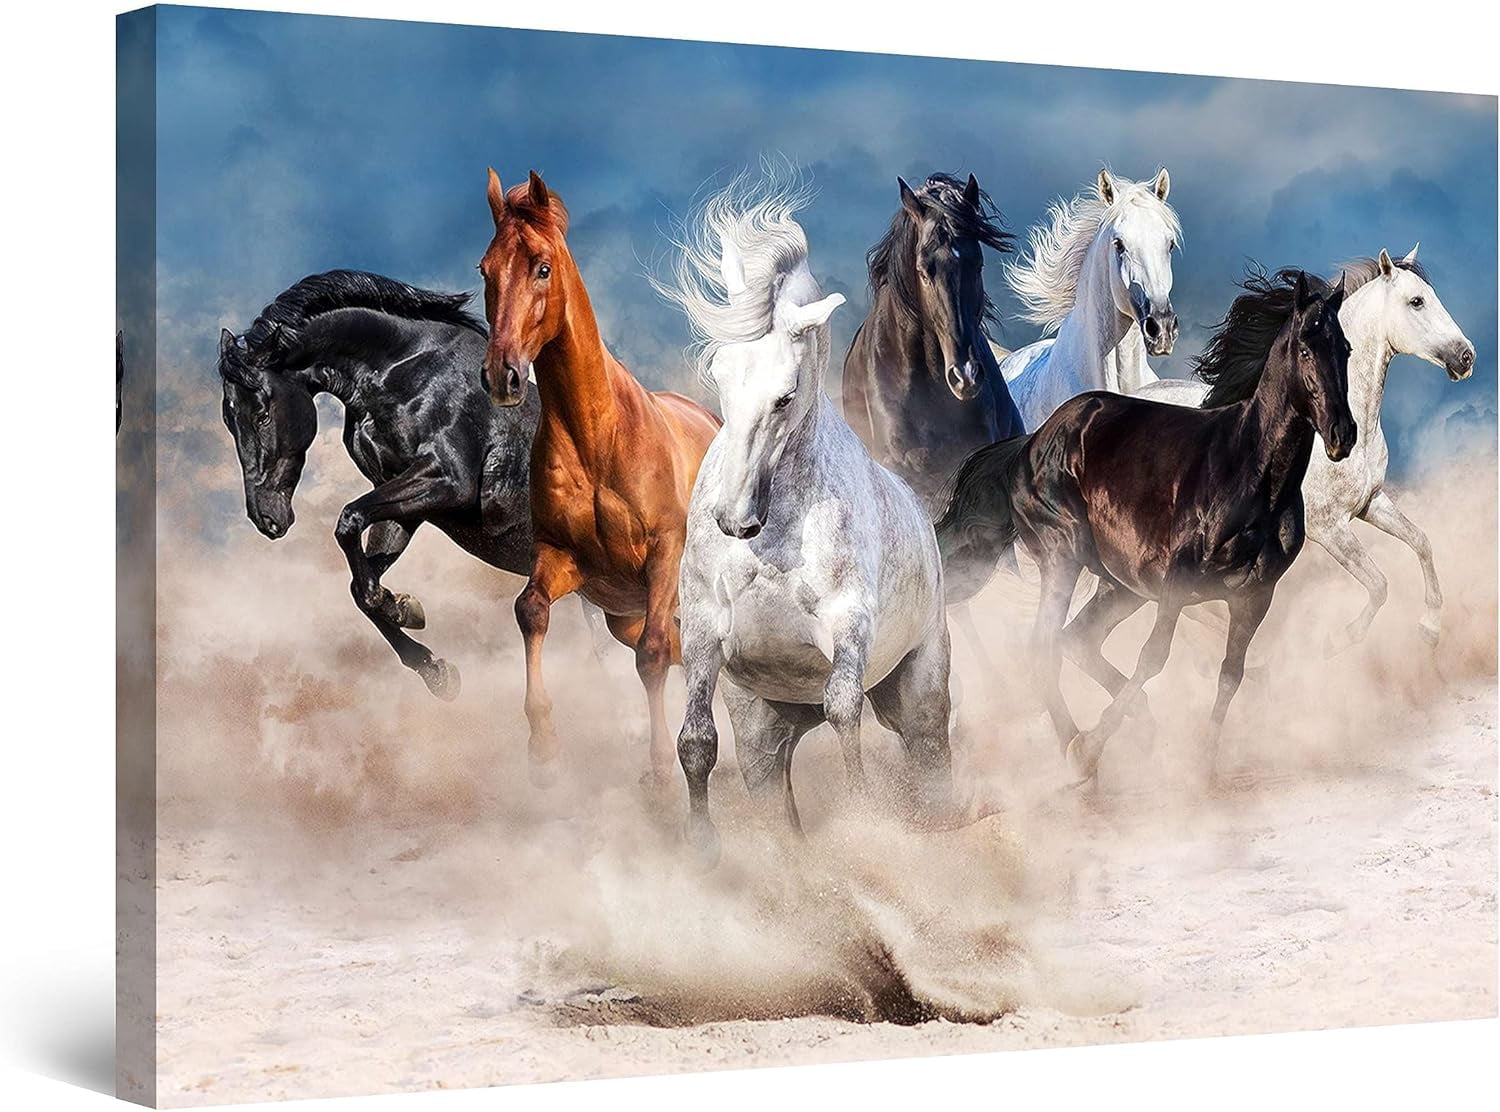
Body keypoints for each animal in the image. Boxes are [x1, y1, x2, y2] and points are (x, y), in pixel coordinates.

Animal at [219, 269, 545, 700]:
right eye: (229, 419)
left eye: (261, 413)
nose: (266, 519)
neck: (403, 372)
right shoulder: (400, 498)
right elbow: (360, 584)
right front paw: (431, 661)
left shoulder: (447, 480)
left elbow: (348, 520)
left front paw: (401, 607)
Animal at [478, 170, 722, 786]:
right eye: (486, 270)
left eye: (542, 267)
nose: (501, 375)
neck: (598, 436)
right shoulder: (566, 558)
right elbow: (531, 611)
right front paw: (543, 743)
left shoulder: (663, 555)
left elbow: (653, 656)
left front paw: (660, 767)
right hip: (622, 615)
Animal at [657, 171, 954, 864]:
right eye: (719, 374)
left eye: (785, 395)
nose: (735, 520)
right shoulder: (704, 628)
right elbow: (695, 742)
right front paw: (702, 850)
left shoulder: (847, 626)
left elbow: (845, 714)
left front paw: (865, 823)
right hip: (766, 728)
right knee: (774, 787)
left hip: (920, 692)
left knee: (929, 760)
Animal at [937, 271, 1355, 786]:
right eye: (1304, 348)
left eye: (1345, 349)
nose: (1342, 435)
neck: (1250, 473)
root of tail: (1030, 444)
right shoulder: (1177, 584)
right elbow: (1153, 658)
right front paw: (1091, 749)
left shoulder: (1254, 597)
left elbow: (1230, 674)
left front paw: (1203, 763)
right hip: (1063, 558)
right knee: (1044, 646)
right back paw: (1076, 750)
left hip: (1121, 585)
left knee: (1077, 640)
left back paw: (1143, 727)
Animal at [1136, 248, 1475, 652]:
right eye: (1417, 301)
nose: (1466, 357)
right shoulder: (1328, 528)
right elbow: (1379, 584)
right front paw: (1338, 640)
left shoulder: (1371, 503)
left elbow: (1422, 542)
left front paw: (1429, 629)